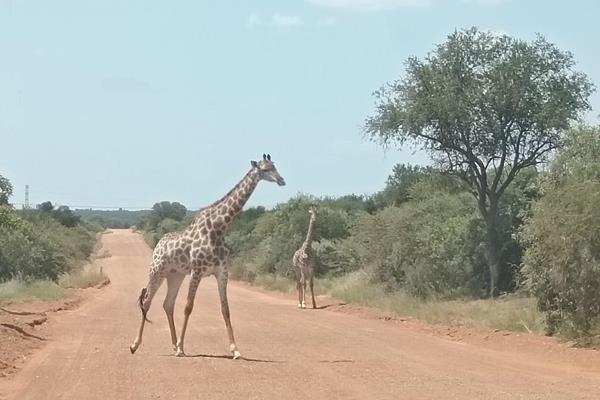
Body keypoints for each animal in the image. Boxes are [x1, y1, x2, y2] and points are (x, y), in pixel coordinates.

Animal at [128, 154, 286, 360]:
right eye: (265, 169)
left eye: (275, 166)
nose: (282, 180)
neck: (218, 228)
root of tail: (158, 244)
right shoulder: (197, 271)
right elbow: (188, 307)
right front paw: (182, 347)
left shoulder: (222, 272)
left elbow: (225, 309)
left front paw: (235, 350)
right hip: (157, 271)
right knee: (147, 301)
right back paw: (135, 345)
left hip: (175, 275)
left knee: (168, 304)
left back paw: (173, 343)